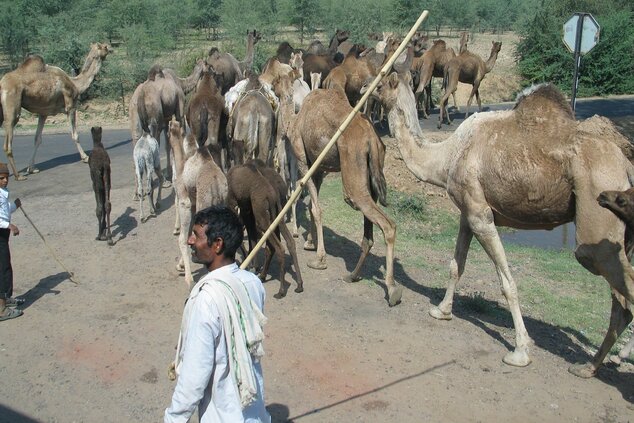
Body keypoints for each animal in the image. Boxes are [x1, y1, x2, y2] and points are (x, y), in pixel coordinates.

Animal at [0, 43, 110, 181]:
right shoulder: (71, 106)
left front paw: (32, 168)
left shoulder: (43, 113)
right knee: (8, 141)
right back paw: (18, 176)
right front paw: (85, 157)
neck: (75, 83)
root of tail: (2, 84)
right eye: (104, 47)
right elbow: (75, 135)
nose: (110, 48)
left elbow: (37, 139)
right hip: (12, 107)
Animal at [168, 119, 227, 288]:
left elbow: (183, 238)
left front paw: (188, 278)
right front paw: (180, 265)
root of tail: (216, 183)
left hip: (204, 204)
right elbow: (188, 235)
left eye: (168, 129)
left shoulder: (185, 201)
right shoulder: (193, 205)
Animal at [227, 160, 304, 302]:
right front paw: (252, 266)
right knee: (289, 242)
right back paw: (299, 284)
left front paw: (250, 265)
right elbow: (251, 237)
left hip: (263, 216)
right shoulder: (246, 208)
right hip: (278, 212)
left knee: (277, 247)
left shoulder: (235, 202)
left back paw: (280, 290)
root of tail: (274, 193)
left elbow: (249, 237)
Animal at [288, 88, 398, 304]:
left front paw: (319, 259)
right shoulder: (319, 168)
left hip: (352, 177)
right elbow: (313, 207)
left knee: (387, 224)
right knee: (369, 233)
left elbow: (316, 208)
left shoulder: (303, 160)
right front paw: (310, 243)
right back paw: (352, 275)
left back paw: (392, 290)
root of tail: (373, 139)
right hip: (371, 173)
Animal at [366, 73, 632, 378]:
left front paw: (520, 351)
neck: (447, 156)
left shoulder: (480, 215)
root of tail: (625, 166)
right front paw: (442, 310)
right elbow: (456, 265)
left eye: (380, 84)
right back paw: (589, 366)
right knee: (621, 302)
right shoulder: (467, 212)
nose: (362, 88)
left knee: (612, 279)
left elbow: (507, 283)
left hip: (596, 218)